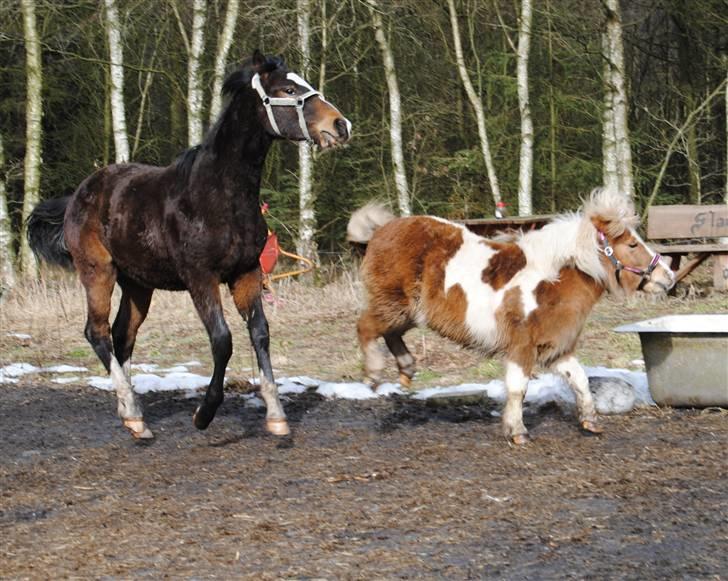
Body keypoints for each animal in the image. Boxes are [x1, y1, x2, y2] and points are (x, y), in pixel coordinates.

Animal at [29, 51, 354, 440]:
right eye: (288, 90)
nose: (341, 125)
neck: (218, 196)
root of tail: (79, 194)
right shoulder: (201, 278)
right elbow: (223, 340)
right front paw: (204, 413)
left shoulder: (247, 273)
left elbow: (260, 333)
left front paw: (276, 416)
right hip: (98, 272)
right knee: (98, 332)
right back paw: (134, 412)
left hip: (137, 283)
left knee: (123, 336)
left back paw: (130, 414)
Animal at [350, 190, 672, 444]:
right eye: (632, 245)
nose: (667, 276)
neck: (550, 282)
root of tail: (379, 231)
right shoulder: (521, 348)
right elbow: (518, 389)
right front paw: (517, 432)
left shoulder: (557, 349)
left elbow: (579, 380)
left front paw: (590, 421)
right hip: (392, 304)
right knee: (366, 327)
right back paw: (375, 373)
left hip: (408, 313)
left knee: (389, 333)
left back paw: (406, 370)